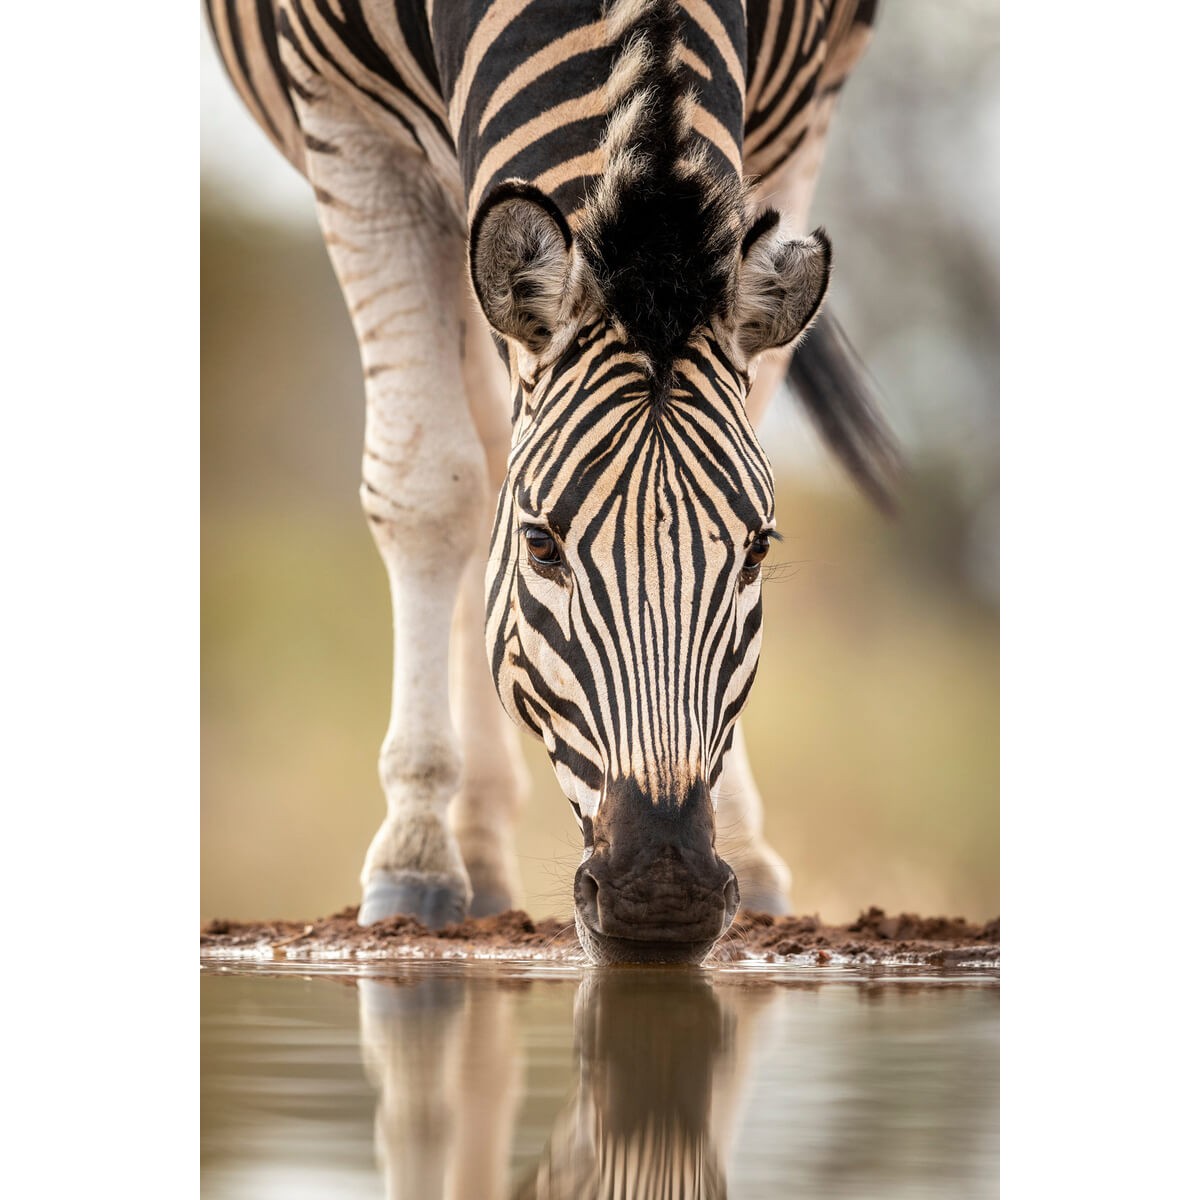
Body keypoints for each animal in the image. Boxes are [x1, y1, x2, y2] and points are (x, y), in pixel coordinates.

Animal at [206, 0, 897, 960]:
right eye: (540, 547)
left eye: (758, 552)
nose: (663, 894)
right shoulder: (346, 122)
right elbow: (429, 485)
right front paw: (414, 853)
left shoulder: (800, 114)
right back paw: (466, 853)